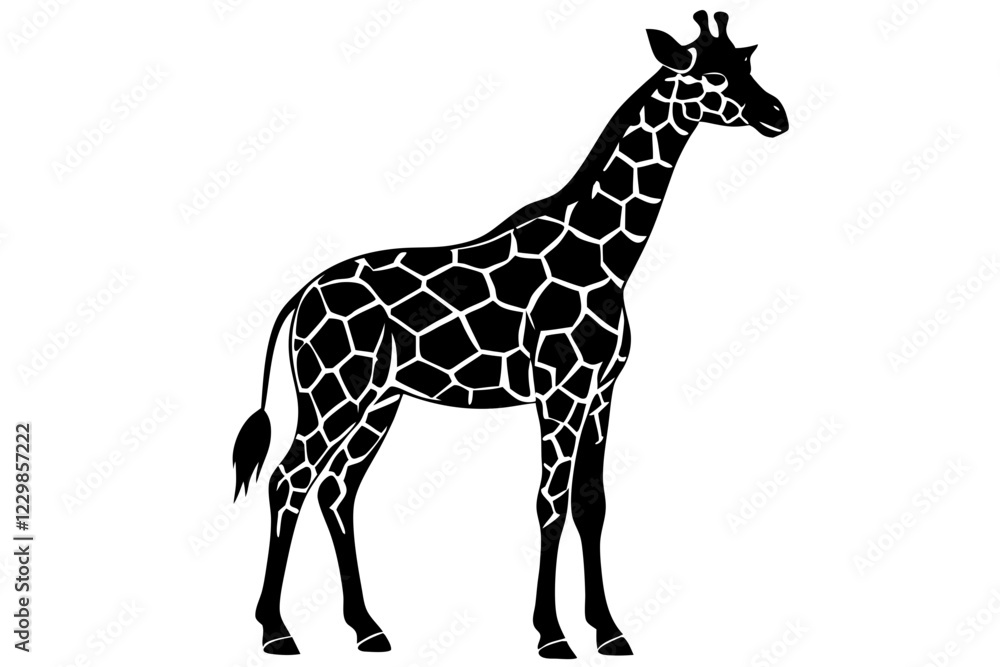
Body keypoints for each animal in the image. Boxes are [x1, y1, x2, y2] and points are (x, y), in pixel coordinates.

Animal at [232, 11, 787, 659]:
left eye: (748, 62)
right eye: (711, 75)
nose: (777, 114)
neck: (606, 256)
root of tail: (299, 298)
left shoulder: (600, 393)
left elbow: (592, 503)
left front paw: (609, 632)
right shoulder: (559, 392)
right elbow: (550, 504)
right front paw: (552, 635)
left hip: (378, 401)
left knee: (336, 490)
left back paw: (367, 628)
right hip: (332, 393)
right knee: (288, 480)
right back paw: (276, 630)